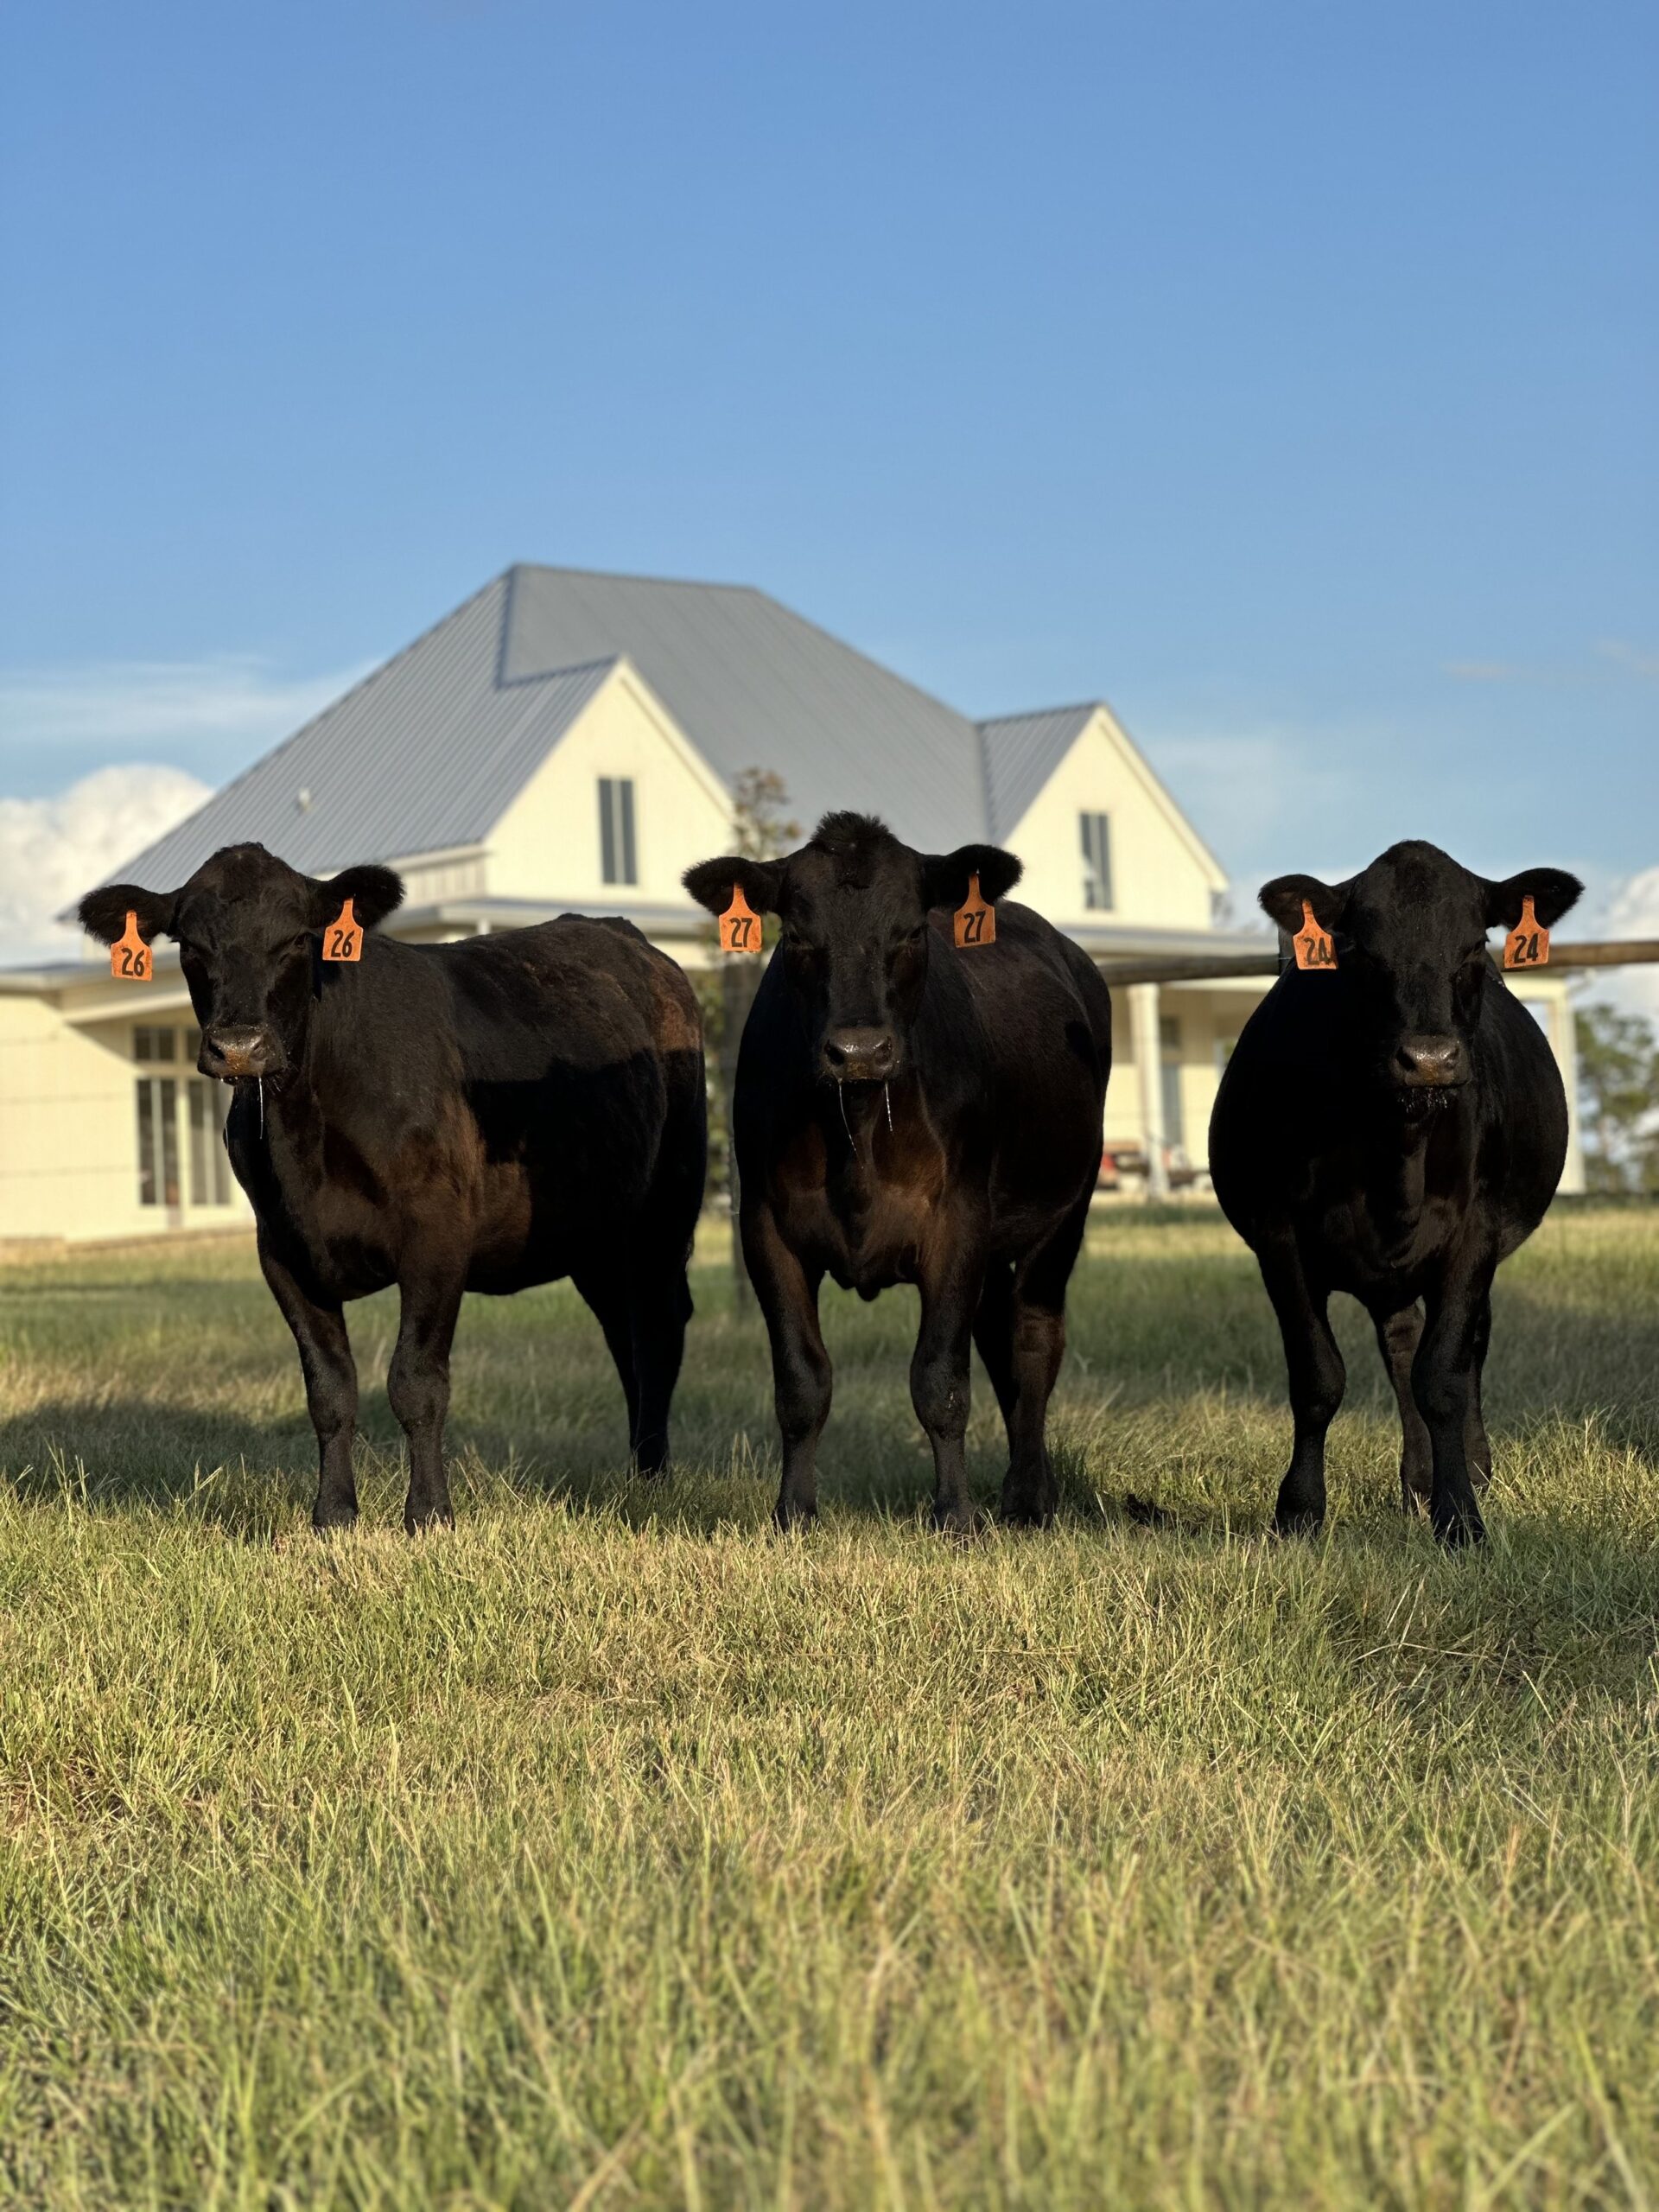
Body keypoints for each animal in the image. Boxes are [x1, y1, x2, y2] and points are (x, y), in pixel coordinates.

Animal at [79, 844, 706, 1533]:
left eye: (298, 938)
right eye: (190, 945)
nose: (239, 1047)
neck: (308, 1138)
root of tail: (625, 937)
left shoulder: (437, 1235)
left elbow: (415, 1382)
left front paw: (429, 1514)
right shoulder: (282, 1251)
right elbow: (329, 1389)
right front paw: (332, 1515)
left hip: (668, 1200)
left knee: (658, 1323)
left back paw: (654, 1473)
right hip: (594, 1230)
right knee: (624, 1331)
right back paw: (637, 1465)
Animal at [683, 811, 1114, 1534]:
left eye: (913, 930)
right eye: (796, 934)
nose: (859, 1050)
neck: (856, 1131)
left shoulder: (958, 1222)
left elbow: (939, 1379)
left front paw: (956, 1516)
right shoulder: (766, 1227)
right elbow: (802, 1381)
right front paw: (793, 1513)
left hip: (1065, 1211)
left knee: (1032, 1339)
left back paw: (1029, 1496)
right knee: (999, 1339)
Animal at [1208, 839, 1582, 1546]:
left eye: (1475, 944)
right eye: (1359, 950)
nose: (1429, 1059)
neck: (1396, 1154)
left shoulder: (1475, 1235)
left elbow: (1445, 1377)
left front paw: (1460, 1514)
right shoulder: (1278, 1237)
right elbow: (1319, 1377)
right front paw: (1299, 1512)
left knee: (1463, 1345)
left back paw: (1465, 1469)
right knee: (1402, 1341)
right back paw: (1417, 1480)